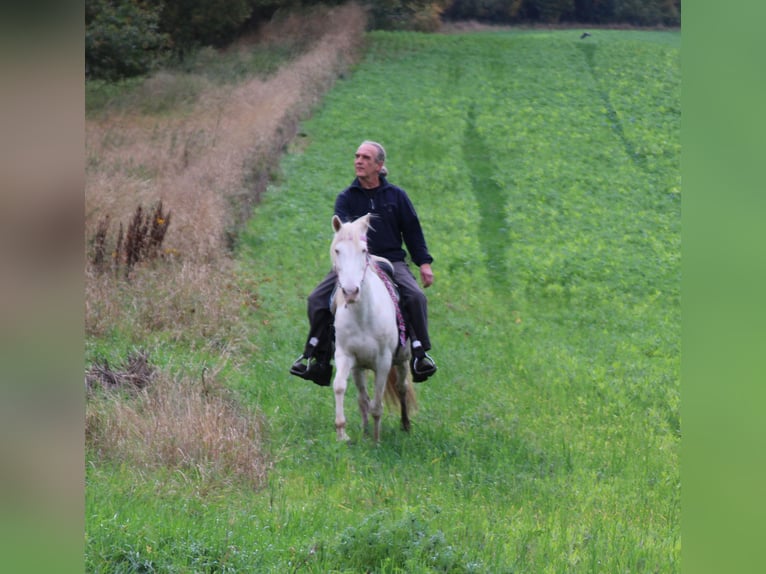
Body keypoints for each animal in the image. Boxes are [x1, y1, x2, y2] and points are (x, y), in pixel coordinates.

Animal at [328, 214, 414, 444]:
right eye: (337, 250)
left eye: (363, 250)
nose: (350, 292)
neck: (363, 317)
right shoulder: (346, 356)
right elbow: (340, 386)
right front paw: (342, 433)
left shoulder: (383, 362)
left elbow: (377, 405)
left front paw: (376, 441)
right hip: (359, 368)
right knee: (362, 398)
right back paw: (365, 431)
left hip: (402, 359)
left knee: (402, 388)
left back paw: (405, 425)